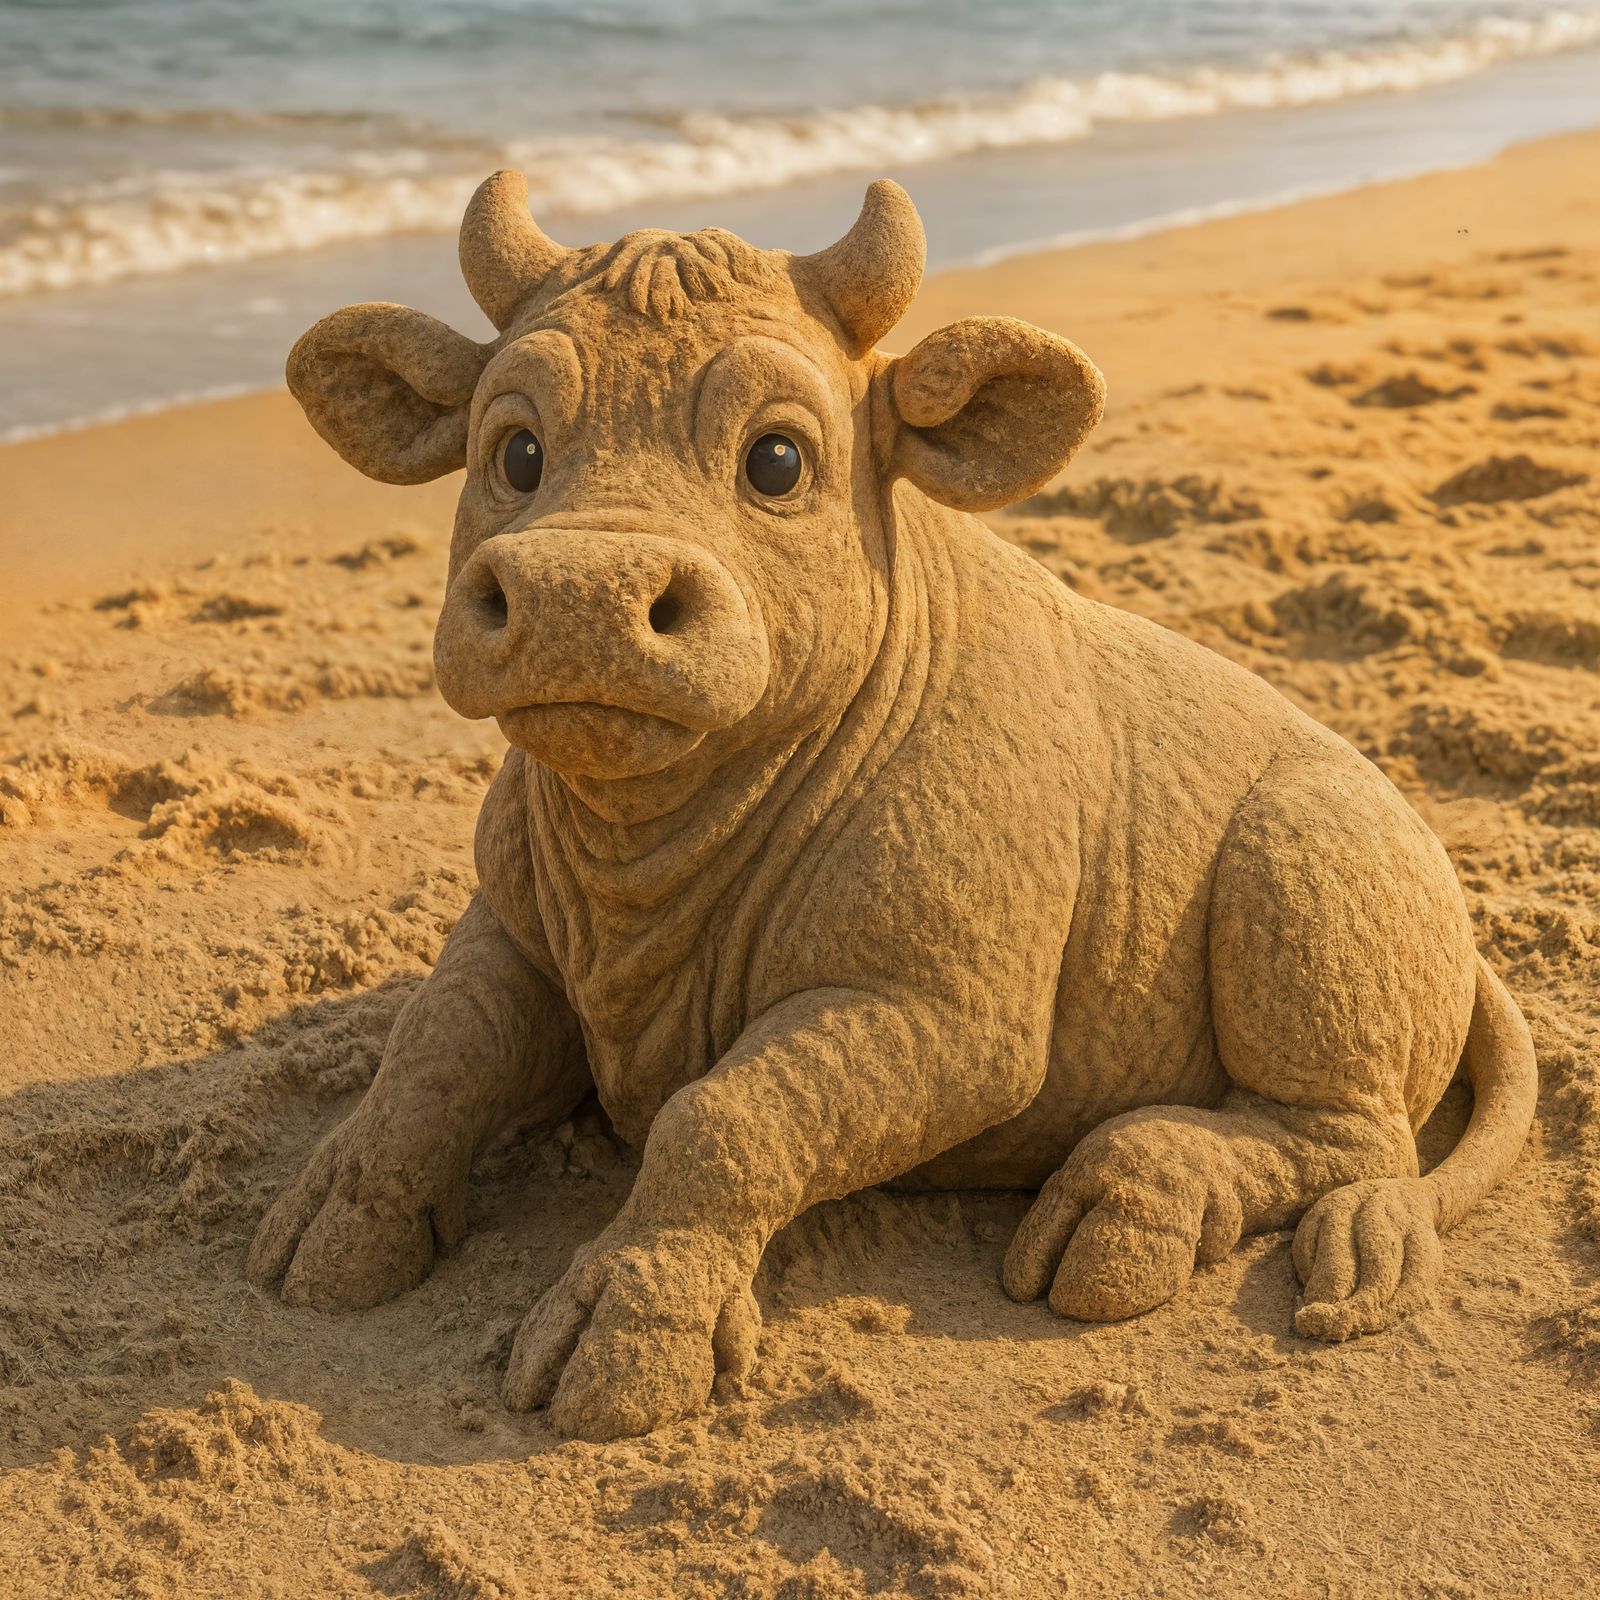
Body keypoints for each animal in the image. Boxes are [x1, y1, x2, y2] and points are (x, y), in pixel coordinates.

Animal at [248, 172, 1537, 1443]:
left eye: (776, 462)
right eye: (513, 452)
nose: (580, 595)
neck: (654, 835)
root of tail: (1454, 915)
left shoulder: (956, 1017)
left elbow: (729, 1115)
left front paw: (627, 1343)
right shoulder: (513, 926)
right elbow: (438, 1042)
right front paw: (334, 1220)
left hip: (1324, 851)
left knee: (1348, 1121)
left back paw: (1128, 1207)